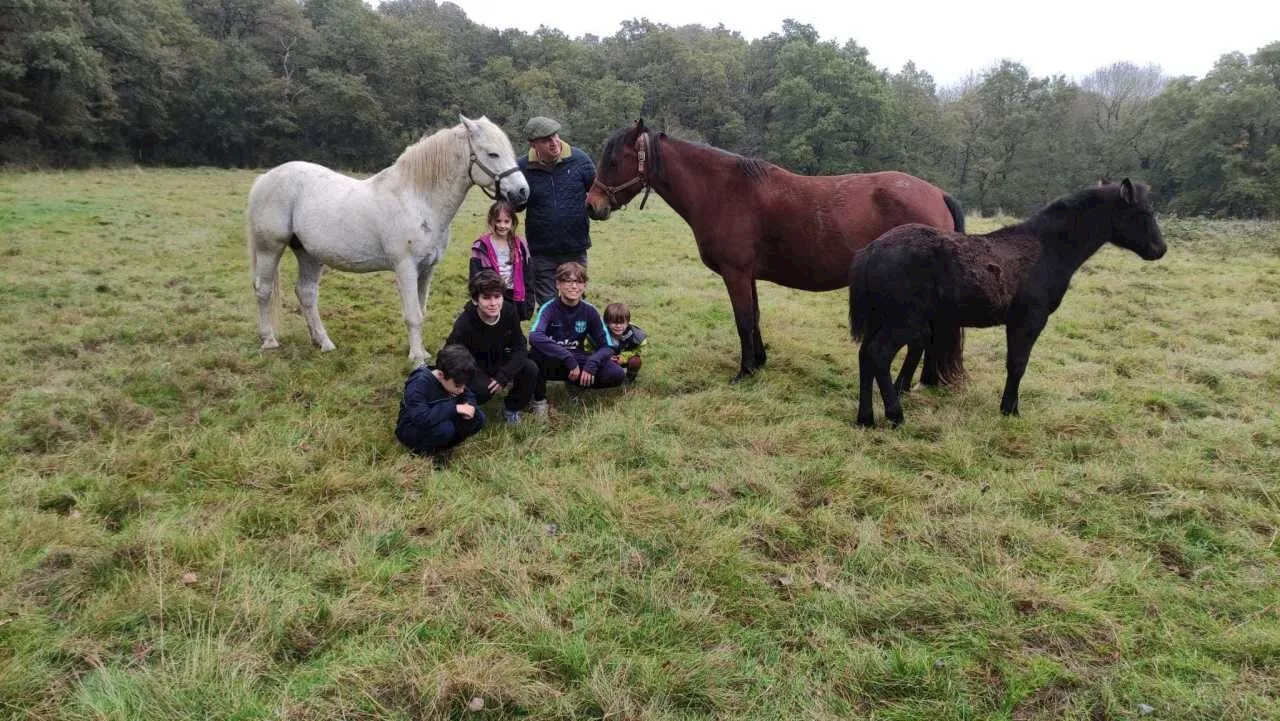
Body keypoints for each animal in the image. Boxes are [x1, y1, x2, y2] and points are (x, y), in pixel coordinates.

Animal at [244, 118, 529, 368]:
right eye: (492, 154)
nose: (522, 192)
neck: (417, 199)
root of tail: (264, 178)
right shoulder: (405, 267)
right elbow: (412, 316)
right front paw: (417, 358)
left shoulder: (427, 269)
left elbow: (421, 311)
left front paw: (420, 350)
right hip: (270, 248)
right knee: (263, 290)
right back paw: (269, 340)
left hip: (308, 254)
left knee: (306, 293)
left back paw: (323, 342)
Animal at [586, 119, 962, 384]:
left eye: (614, 161)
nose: (592, 205)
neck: (723, 190)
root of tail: (937, 194)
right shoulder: (748, 275)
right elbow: (755, 318)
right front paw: (760, 361)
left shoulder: (736, 274)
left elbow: (743, 320)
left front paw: (745, 371)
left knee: (921, 337)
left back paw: (902, 386)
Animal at [849, 180, 1172, 427]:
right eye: (1144, 212)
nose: (1160, 249)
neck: (1046, 249)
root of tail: (872, 249)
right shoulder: (1029, 320)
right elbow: (1018, 363)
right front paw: (1010, 410)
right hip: (903, 321)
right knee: (878, 354)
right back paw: (895, 415)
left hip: (881, 318)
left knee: (866, 355)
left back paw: (865, 419)